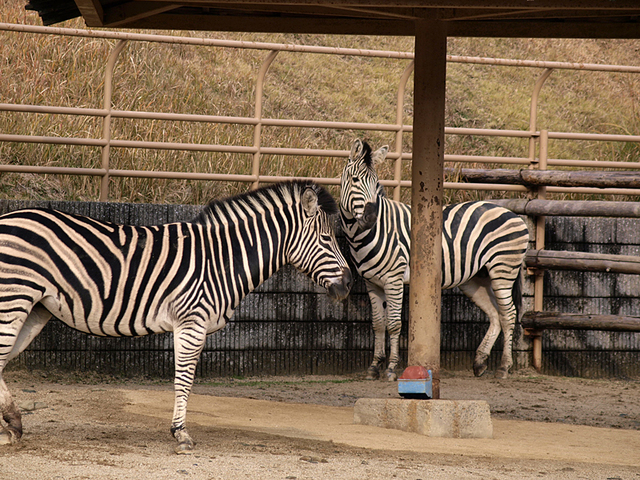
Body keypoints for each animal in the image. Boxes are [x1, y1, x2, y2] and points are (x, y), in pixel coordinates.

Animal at [0, 180, 350, 454]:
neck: (222, 259)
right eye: (327, 239)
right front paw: (180, 434)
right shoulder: (192, 322)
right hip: (14, 298)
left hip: (36, 308)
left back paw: (13, 425)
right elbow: (184, 379)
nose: (348, 285)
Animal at [340, 140, 528, 382]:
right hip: (477, 279)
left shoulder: (394, 279)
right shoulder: (372, 283)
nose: (370, 218)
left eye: (376, 183)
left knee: (508, 314)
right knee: (495, 315)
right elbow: (378, 324)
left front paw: (391, 368)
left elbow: (393, 324)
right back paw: (479, 363)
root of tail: (512, 212)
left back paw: (504, 367)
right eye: (355, 180)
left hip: (503, 269)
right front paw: (374, 367)